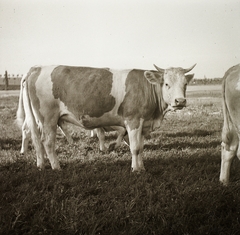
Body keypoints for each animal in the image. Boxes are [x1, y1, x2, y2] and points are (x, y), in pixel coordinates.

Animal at [16, 63, 196, 172]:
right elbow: (135, 148)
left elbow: (141, 147)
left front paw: (142, 167)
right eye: (166, 84)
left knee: (37, 140)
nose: (180, 101)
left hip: (39, 119)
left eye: (185, 84)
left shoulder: (144, 124)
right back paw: (56, 166)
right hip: (48, 118)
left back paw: (41, 164)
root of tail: (37, 68)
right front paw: (136, 169)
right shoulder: (133, 121)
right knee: (47, 142)